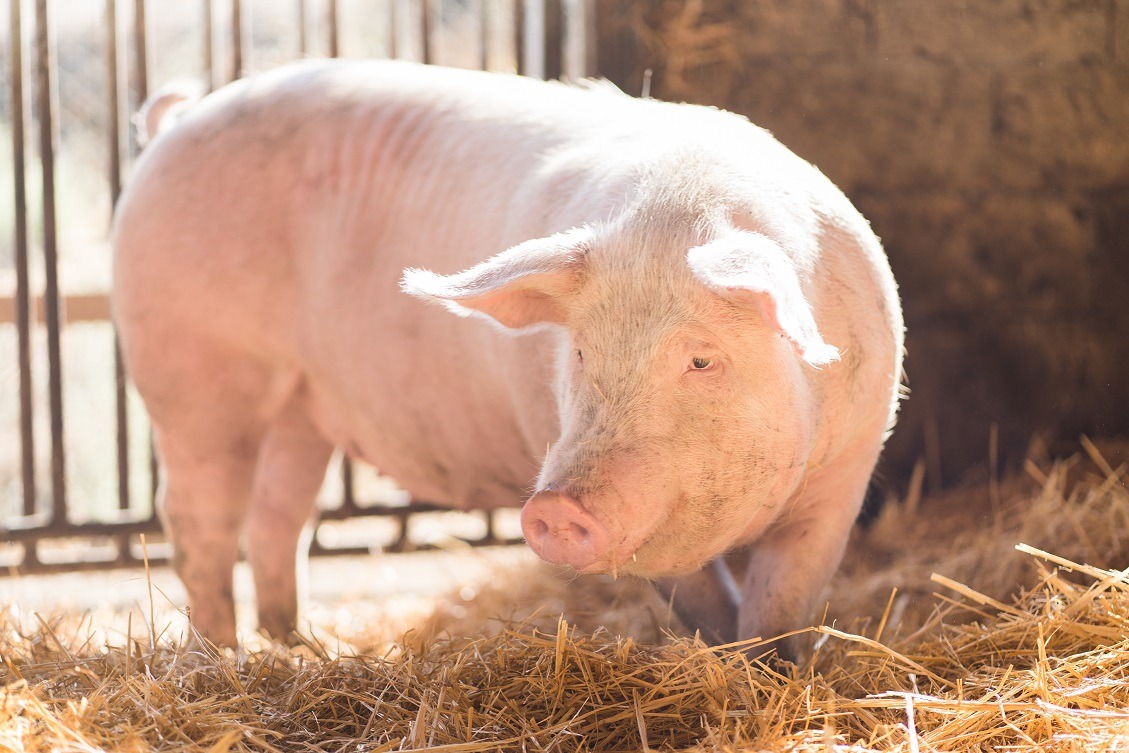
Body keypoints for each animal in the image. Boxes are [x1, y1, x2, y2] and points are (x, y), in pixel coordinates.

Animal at [112, 60, 907, 659]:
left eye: (702, 361)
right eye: (579, 350)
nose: (554, 507)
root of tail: (176, 124)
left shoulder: (847, 473)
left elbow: (783, 599)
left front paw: (772, 669)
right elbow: (703, 600)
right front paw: (725, 659)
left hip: (299, 405)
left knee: (279, 511)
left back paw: (301, 645)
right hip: (190, 370)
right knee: (198, 517)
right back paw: (224, 655)